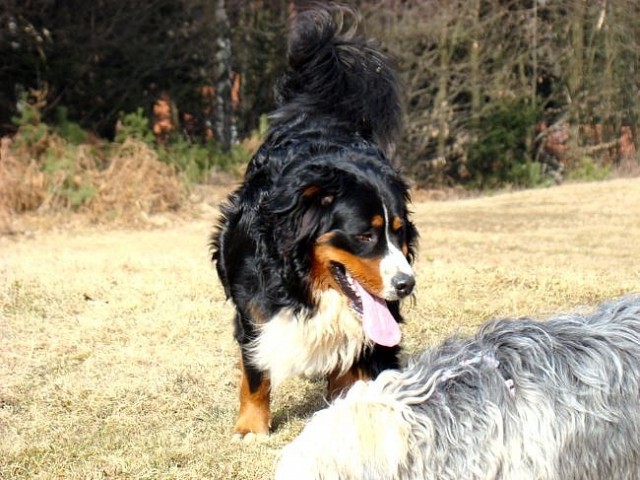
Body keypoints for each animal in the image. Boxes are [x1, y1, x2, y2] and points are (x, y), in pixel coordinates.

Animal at [212, 4, 418, 438]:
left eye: (400, 233)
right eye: (365, 235)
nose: (406, 285)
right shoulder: (253, 305)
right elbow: (254, 370)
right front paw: (251, 428)